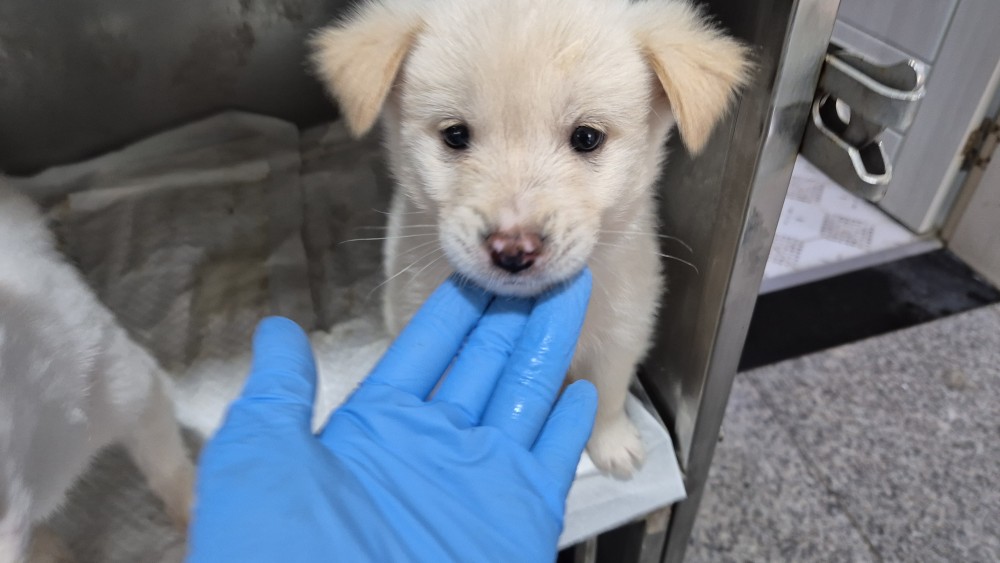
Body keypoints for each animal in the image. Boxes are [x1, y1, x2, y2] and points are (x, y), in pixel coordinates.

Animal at [310, 0, 750, 477]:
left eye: (587, 137)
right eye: (455, 135)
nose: (513, 250)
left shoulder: (624, 330)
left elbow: (606, 395)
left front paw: (613, 446)